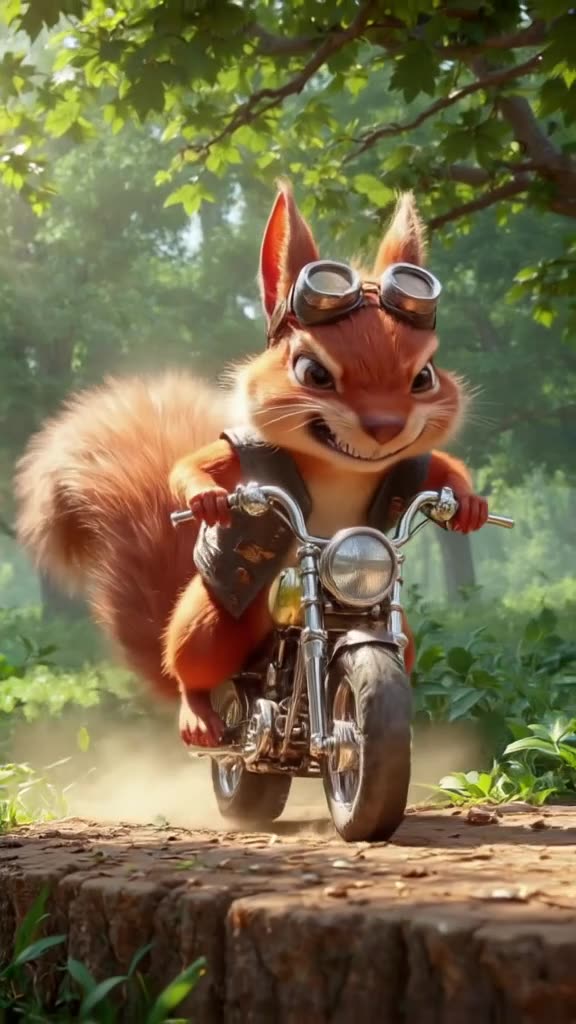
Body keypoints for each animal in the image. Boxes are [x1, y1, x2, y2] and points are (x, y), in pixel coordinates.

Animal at [14, 181, 488, 749]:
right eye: (312, 372)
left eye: (424, 376)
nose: (385, 427)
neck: (340, 469)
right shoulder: (248, 450)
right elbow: (198, 465)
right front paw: (207, 497)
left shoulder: (405, 474)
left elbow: (438, 467)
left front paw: (471, 504)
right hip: (209, 626)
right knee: (195, 672)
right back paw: (200, 716)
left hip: (400, 638)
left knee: (403, 644)